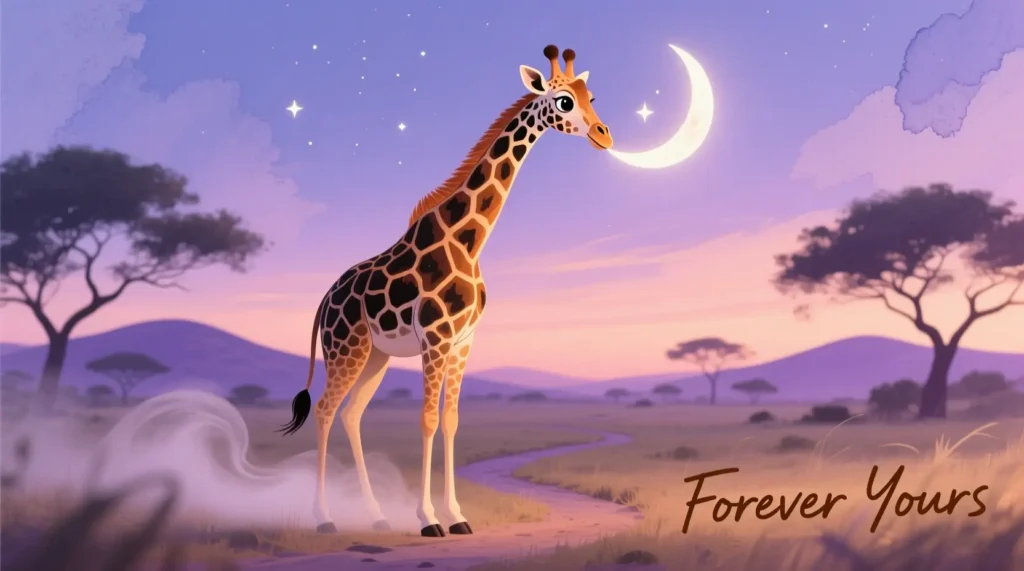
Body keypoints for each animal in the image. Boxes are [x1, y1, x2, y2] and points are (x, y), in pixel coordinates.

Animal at [278, 44, 613, 538]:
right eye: (564, 101)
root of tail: (325, 299)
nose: (604, 135)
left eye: (592, 96)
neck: (469, 241)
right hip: (345, 349)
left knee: (352, 413)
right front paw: (428, 519)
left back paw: (377, 515)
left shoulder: (463, 340)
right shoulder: (435, 339)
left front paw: (457, 516)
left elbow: (452, 421)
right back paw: (324, 518)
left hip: (376, 355)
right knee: (324, 409)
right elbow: (427, 419)